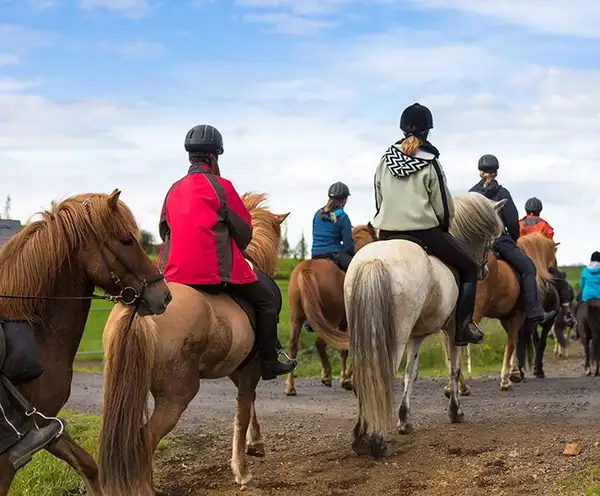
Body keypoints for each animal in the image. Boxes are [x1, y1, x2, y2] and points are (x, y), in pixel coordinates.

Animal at [0, 190, 171, 496]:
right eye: (126, 240)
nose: (163, 296)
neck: (30, 327)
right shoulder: (10, 454)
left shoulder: (44, 424)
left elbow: (88, 465)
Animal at [99, 193, 290, 496]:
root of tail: (140, 309)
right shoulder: (250, 371)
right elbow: (242, 413)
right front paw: (243, 470)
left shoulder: (239, 370)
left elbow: (249, 406)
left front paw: (255, 443)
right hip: (177, 394)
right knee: (145, 438)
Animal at [284, 224, 378, 396]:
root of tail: (306, 270)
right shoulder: (346, 323)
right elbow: (347, 349)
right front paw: (346, 379)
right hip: (330, 319)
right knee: (320, 343)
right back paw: (327, 375)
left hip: (297, 318)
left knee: (294, 346)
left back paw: (290, 386)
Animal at [344, 194, 504, 458]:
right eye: (490, 240)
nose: (484, 270)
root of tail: (374, 260)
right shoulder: (452, 331)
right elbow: (454, 368)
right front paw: (455, 411)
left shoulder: (416, 337)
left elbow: (411, 373)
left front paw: (404, 420)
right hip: (394, 338)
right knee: (380, 377)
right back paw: (376, 441)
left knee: (364, 377)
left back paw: (359, 436)